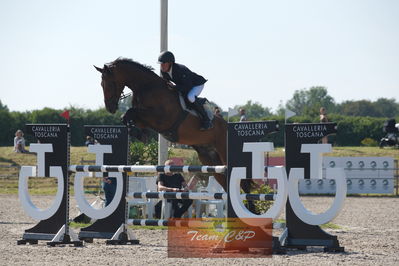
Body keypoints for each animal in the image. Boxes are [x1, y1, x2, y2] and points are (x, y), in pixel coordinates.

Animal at [94, 57, 230, 189]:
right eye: (101, 84)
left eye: (110, 83)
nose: (110, 108)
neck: (147, 87)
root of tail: (226, 124)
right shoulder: (144, 120)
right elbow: (127, 116)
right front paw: (138, 133)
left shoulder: (161, 119)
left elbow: (131, 111)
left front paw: (138, 133)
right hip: (208, 157)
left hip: (223, 152)